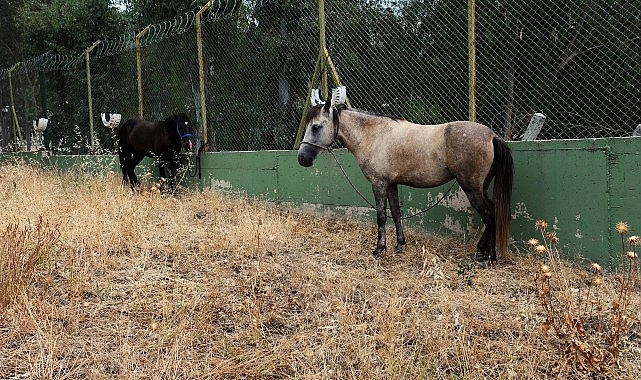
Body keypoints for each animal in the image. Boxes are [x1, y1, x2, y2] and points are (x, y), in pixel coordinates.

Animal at [298, 87, 512, 264]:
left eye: (316, 127)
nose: (302, 158)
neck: (375, 136)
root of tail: (492, 136)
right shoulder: (392, 184)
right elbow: (396, 213)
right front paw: (400, 245)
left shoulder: (379, 184)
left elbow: (381, 217)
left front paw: (379, 249)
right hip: (480, 187)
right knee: (490, 212)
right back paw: (481, 250)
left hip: (472, 188)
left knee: (489, 215)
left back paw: (489, 258)